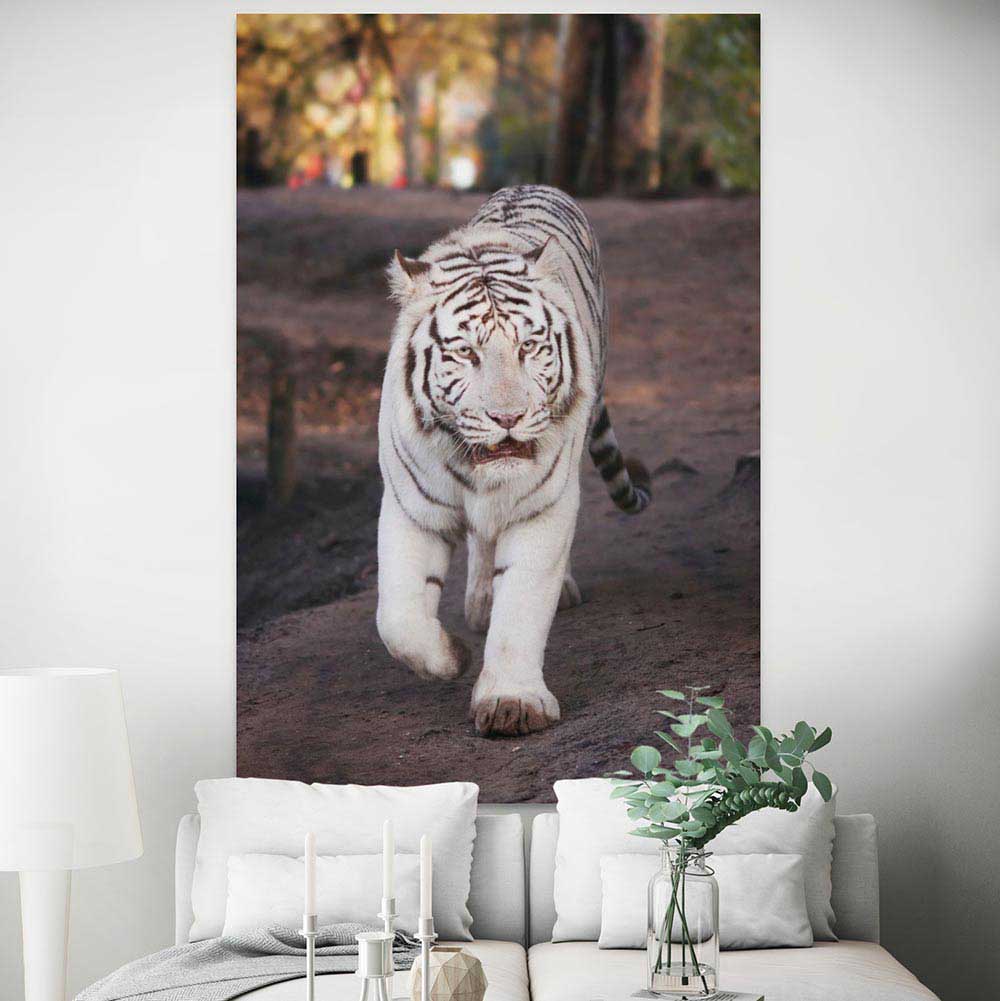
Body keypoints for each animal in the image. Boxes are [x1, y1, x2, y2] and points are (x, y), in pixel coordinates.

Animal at [376, 184, 651, 737]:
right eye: (465, 353)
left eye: (529, 347)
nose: (508, 417)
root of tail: (531, 185)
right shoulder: (410, 509)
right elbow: (397, 618)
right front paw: (452, 657)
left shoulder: (541, 508)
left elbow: (522, 606)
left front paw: (512, 703)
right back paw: (479, 606)